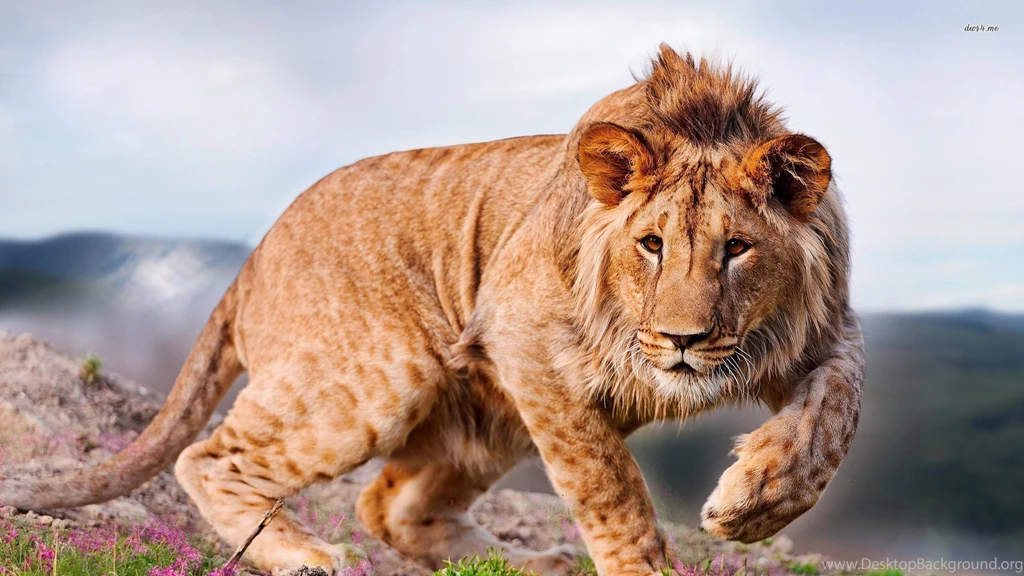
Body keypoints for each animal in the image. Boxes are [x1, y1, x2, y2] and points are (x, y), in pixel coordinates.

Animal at [0, 44, 864, 575]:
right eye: (651, 244)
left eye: (737, 248)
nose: (684, 340)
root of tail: (253, 258)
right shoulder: (526, 339)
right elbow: (608, 483)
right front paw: (642, 563)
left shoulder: (822, 329)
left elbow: (835, 415)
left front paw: (755, 502)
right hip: (386, 376)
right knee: (210, 458)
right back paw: (303, 555)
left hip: (487, 417)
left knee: (392, 506)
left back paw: (529, 563)